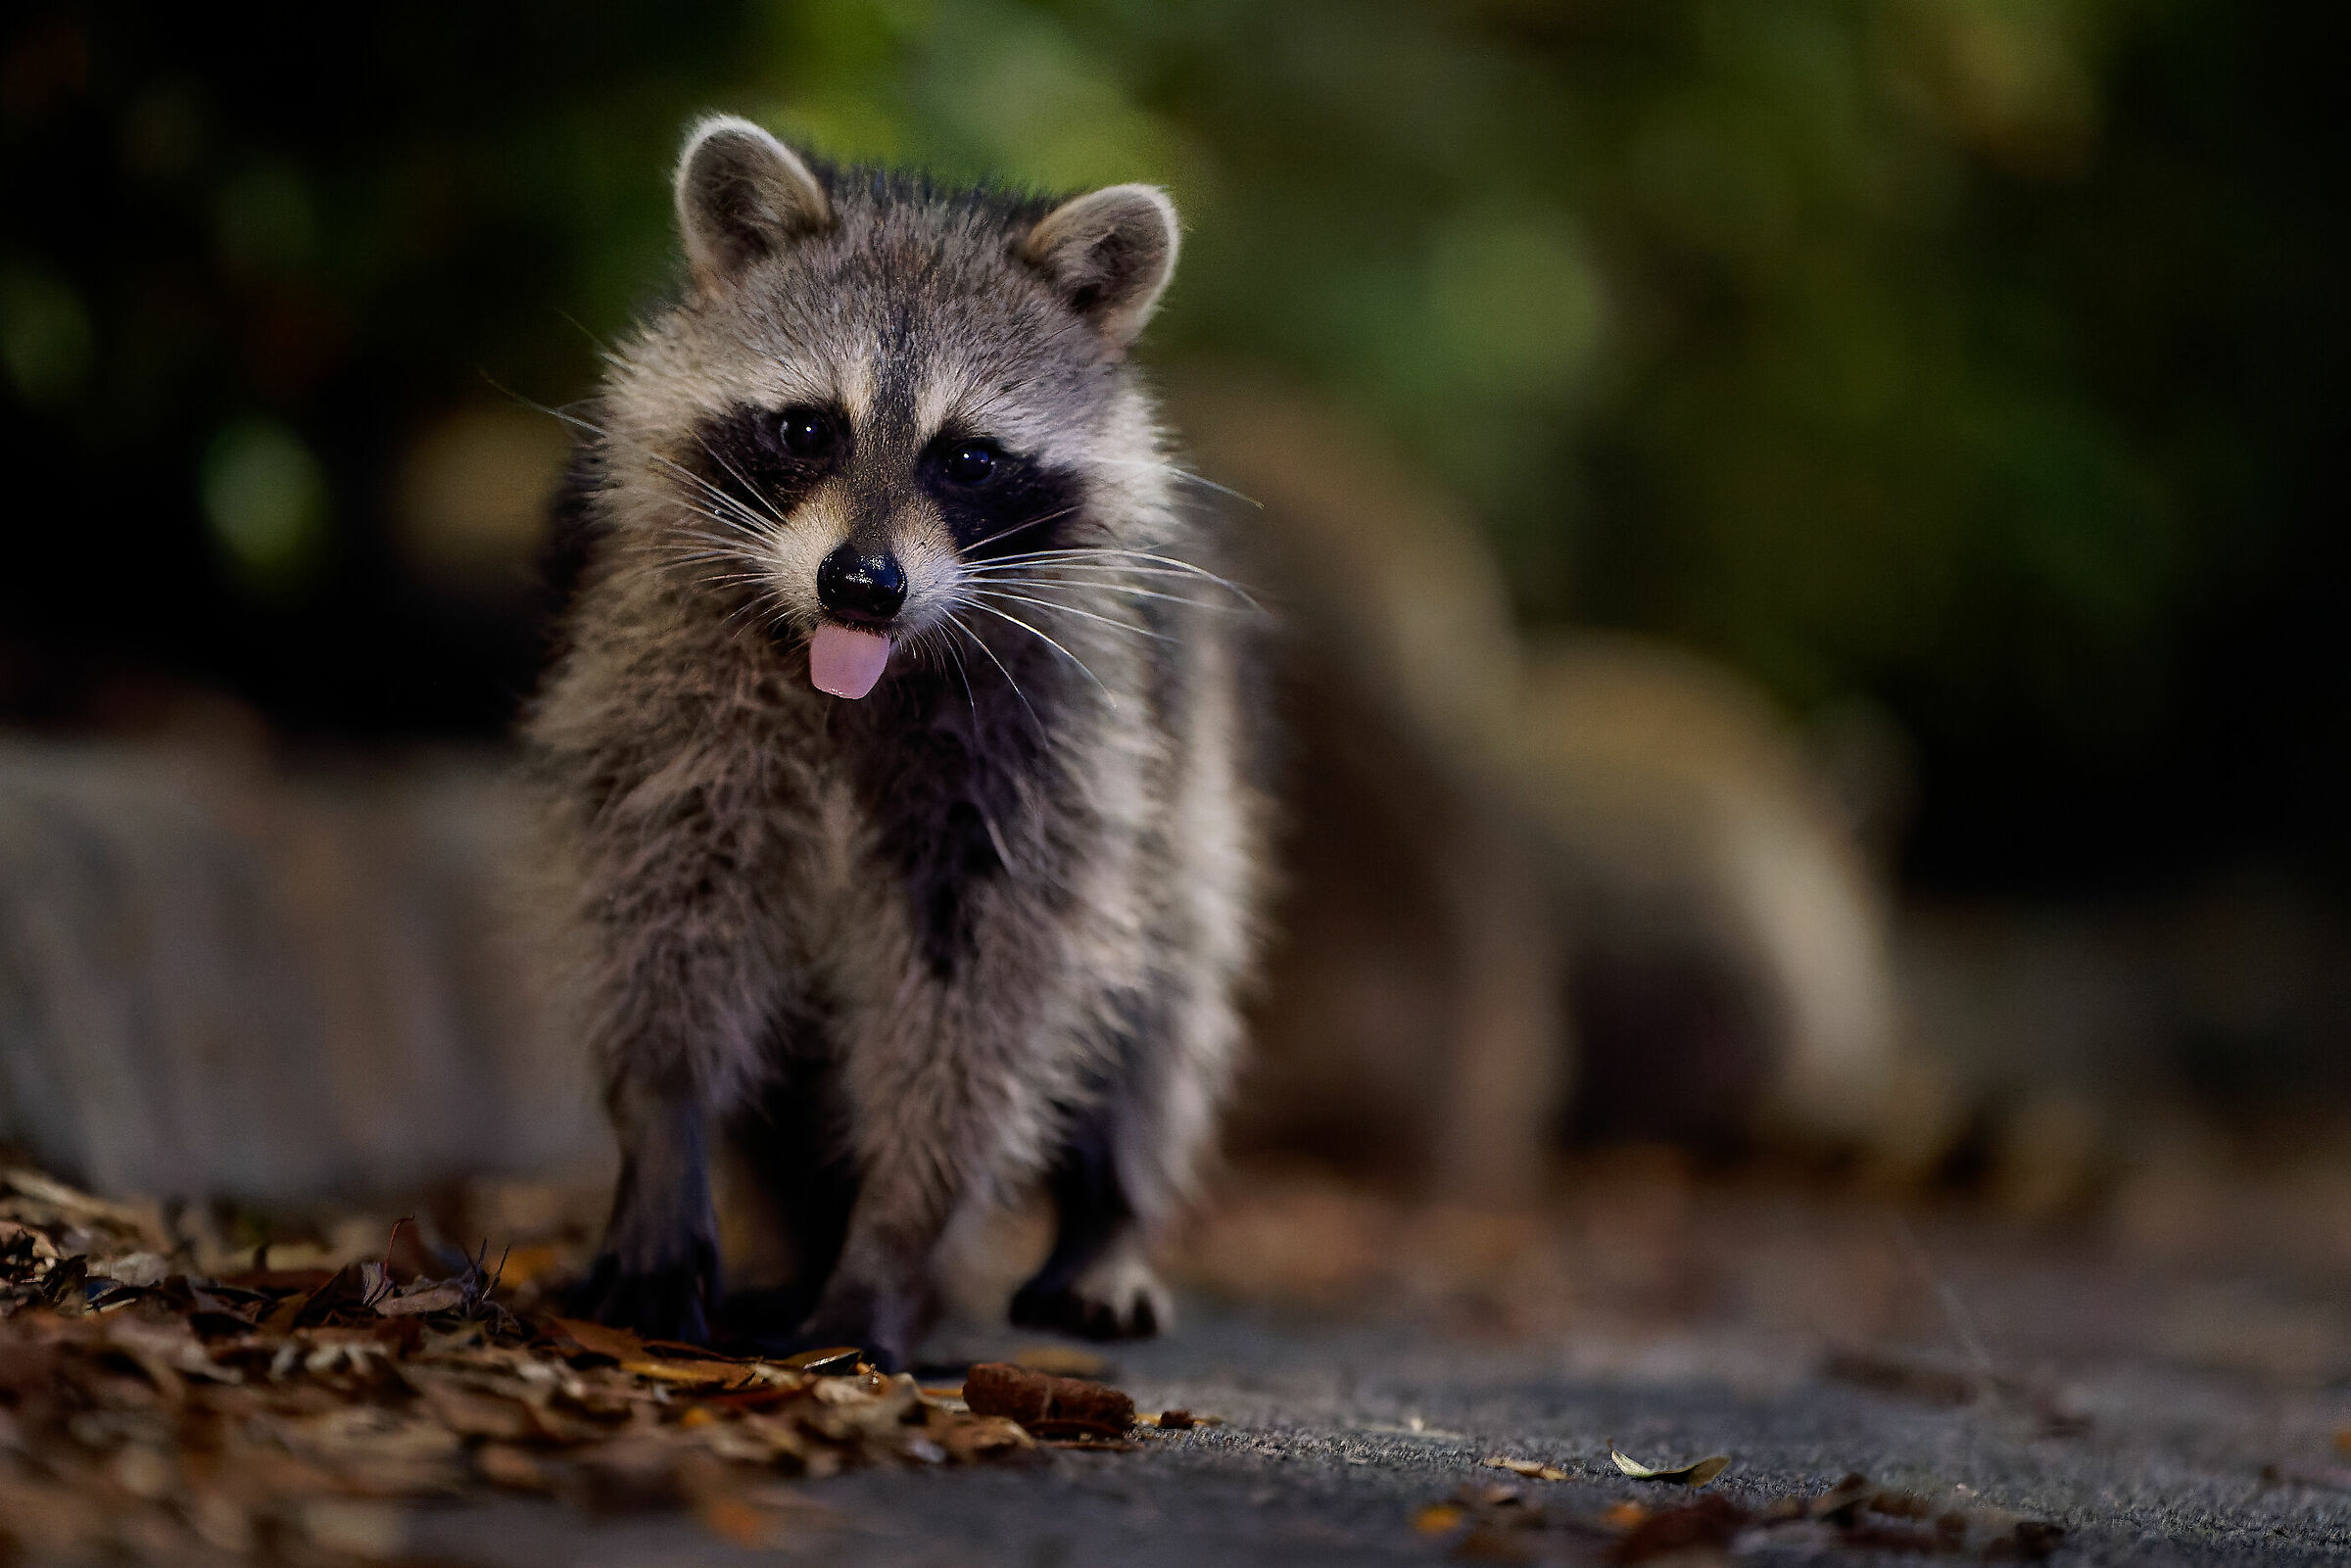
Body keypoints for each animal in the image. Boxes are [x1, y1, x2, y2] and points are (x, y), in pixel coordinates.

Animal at [525, 118, 1265, 1368]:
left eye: (966, 458)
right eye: (807, 426)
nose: (862, 584)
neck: (863, 671)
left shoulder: (1043, 749)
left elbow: (978, 1001)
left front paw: (895, 1235)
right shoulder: (663, 685)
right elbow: (666, 912)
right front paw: (664, 1135)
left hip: (1183, 775)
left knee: (1161, 1002)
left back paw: (1107, 1216)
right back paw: (800, 1239)